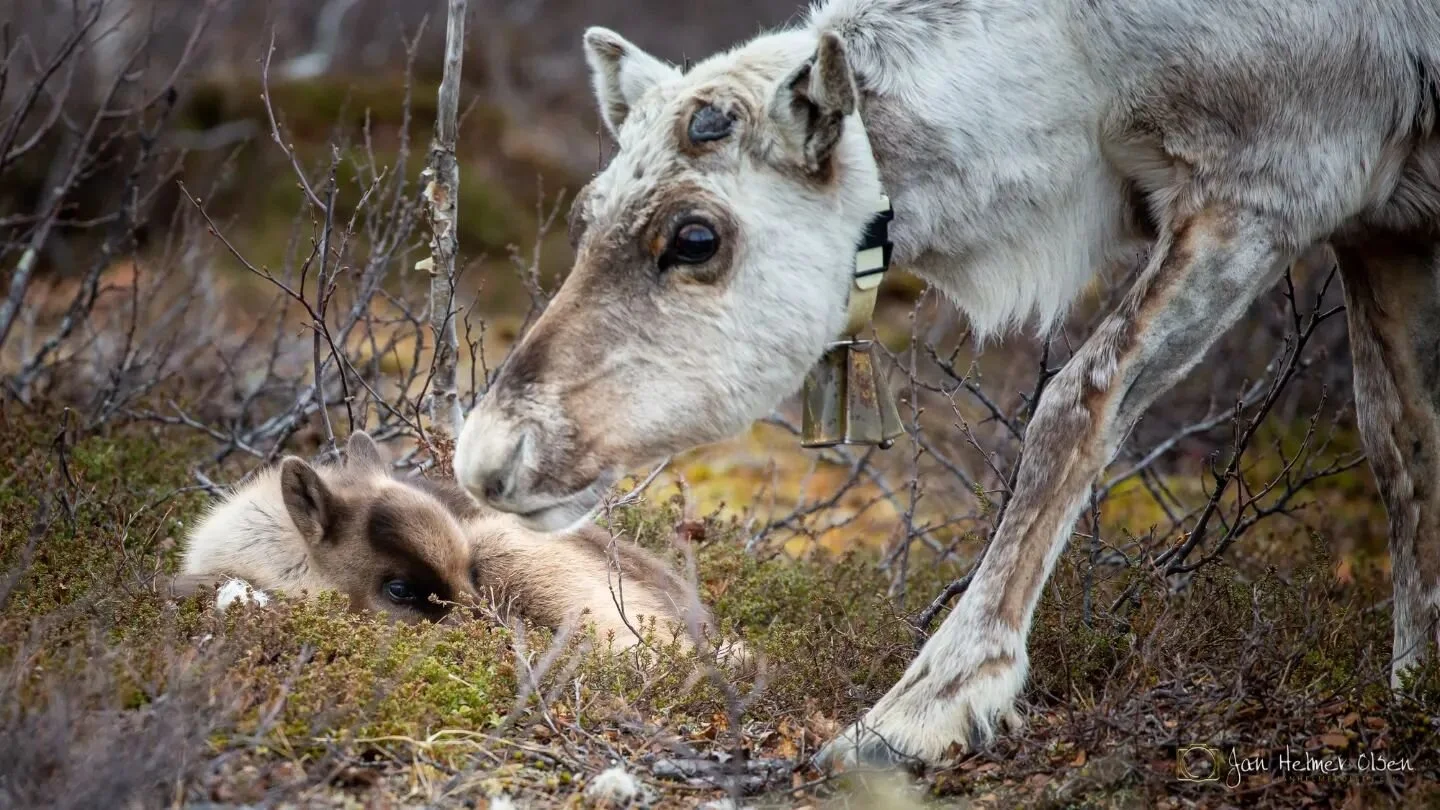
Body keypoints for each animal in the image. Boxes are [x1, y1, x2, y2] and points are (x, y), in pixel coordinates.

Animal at [452, 0, 1440, 769]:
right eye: (586, 214)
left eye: (695, 237)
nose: (484, 456)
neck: (1083, 73)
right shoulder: (1380, 225)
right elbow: (1401, 443)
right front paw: (1416, 680)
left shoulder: (1272, 183)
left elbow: (1078, 401)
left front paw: (923, 706)